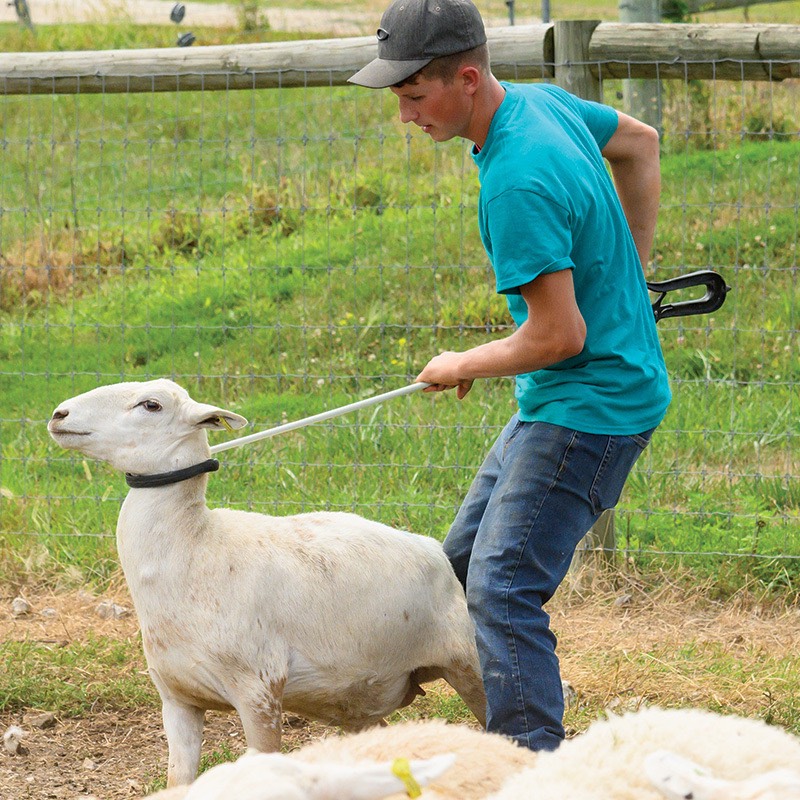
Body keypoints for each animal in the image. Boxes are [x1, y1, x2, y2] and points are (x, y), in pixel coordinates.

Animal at [51, 382, 488, 788]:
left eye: (151, 405)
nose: (58, 414)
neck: (196, 546)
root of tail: (434, 550)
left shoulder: (258, 692)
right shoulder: (177, 699)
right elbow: (178, 780)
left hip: (468, 664)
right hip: (359, 698)